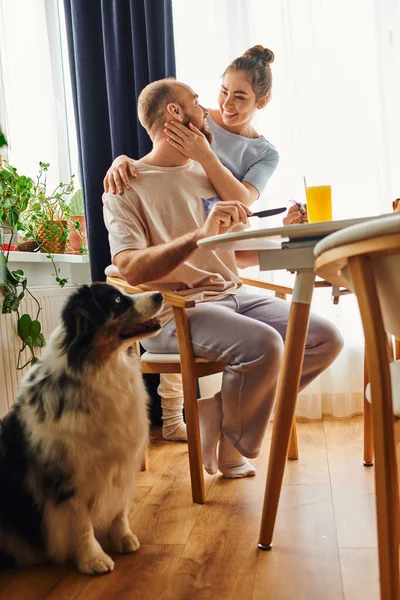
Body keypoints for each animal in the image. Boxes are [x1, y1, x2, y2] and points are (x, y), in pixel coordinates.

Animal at [0, 284, 162, 576]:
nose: (159, 295)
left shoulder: (122, 461)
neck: (102, 367)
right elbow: (80, 522)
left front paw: (122, 538)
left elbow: (119, 506)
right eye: (117, 300)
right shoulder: (69, 475)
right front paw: (93, 559)